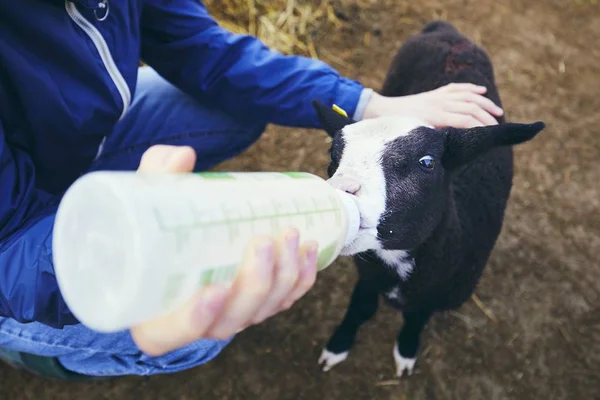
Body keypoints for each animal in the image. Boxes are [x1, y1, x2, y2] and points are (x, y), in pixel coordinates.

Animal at [312, 21, 548, 378]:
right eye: (333, 155)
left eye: (426, 162)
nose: (337, 196)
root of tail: (446, 29)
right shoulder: (368, 275)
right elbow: (361, 308)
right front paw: (338, 346)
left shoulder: (433, 296)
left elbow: (416, 318)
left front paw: (406, 352)